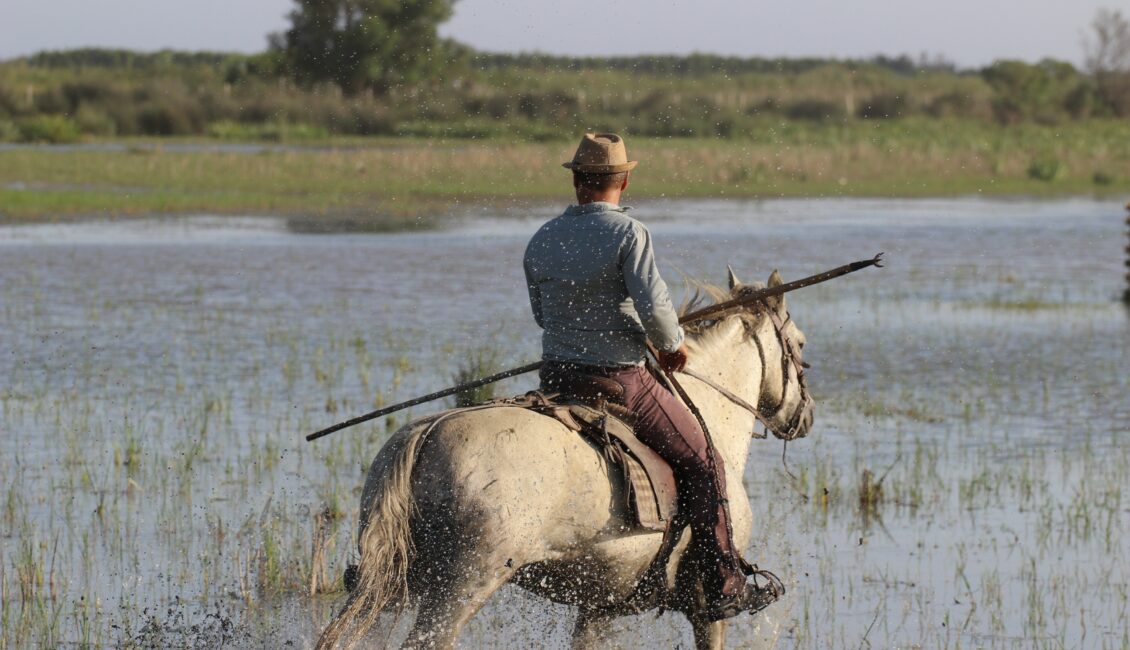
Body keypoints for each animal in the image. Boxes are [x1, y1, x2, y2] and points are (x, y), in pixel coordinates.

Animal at [318, 269, 813, 650]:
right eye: (802, 346)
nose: (804, 416)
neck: (709, 409)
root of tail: (425, 434)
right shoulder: (707, 608)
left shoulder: (600, 605)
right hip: (459, 586)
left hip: (399, 581)